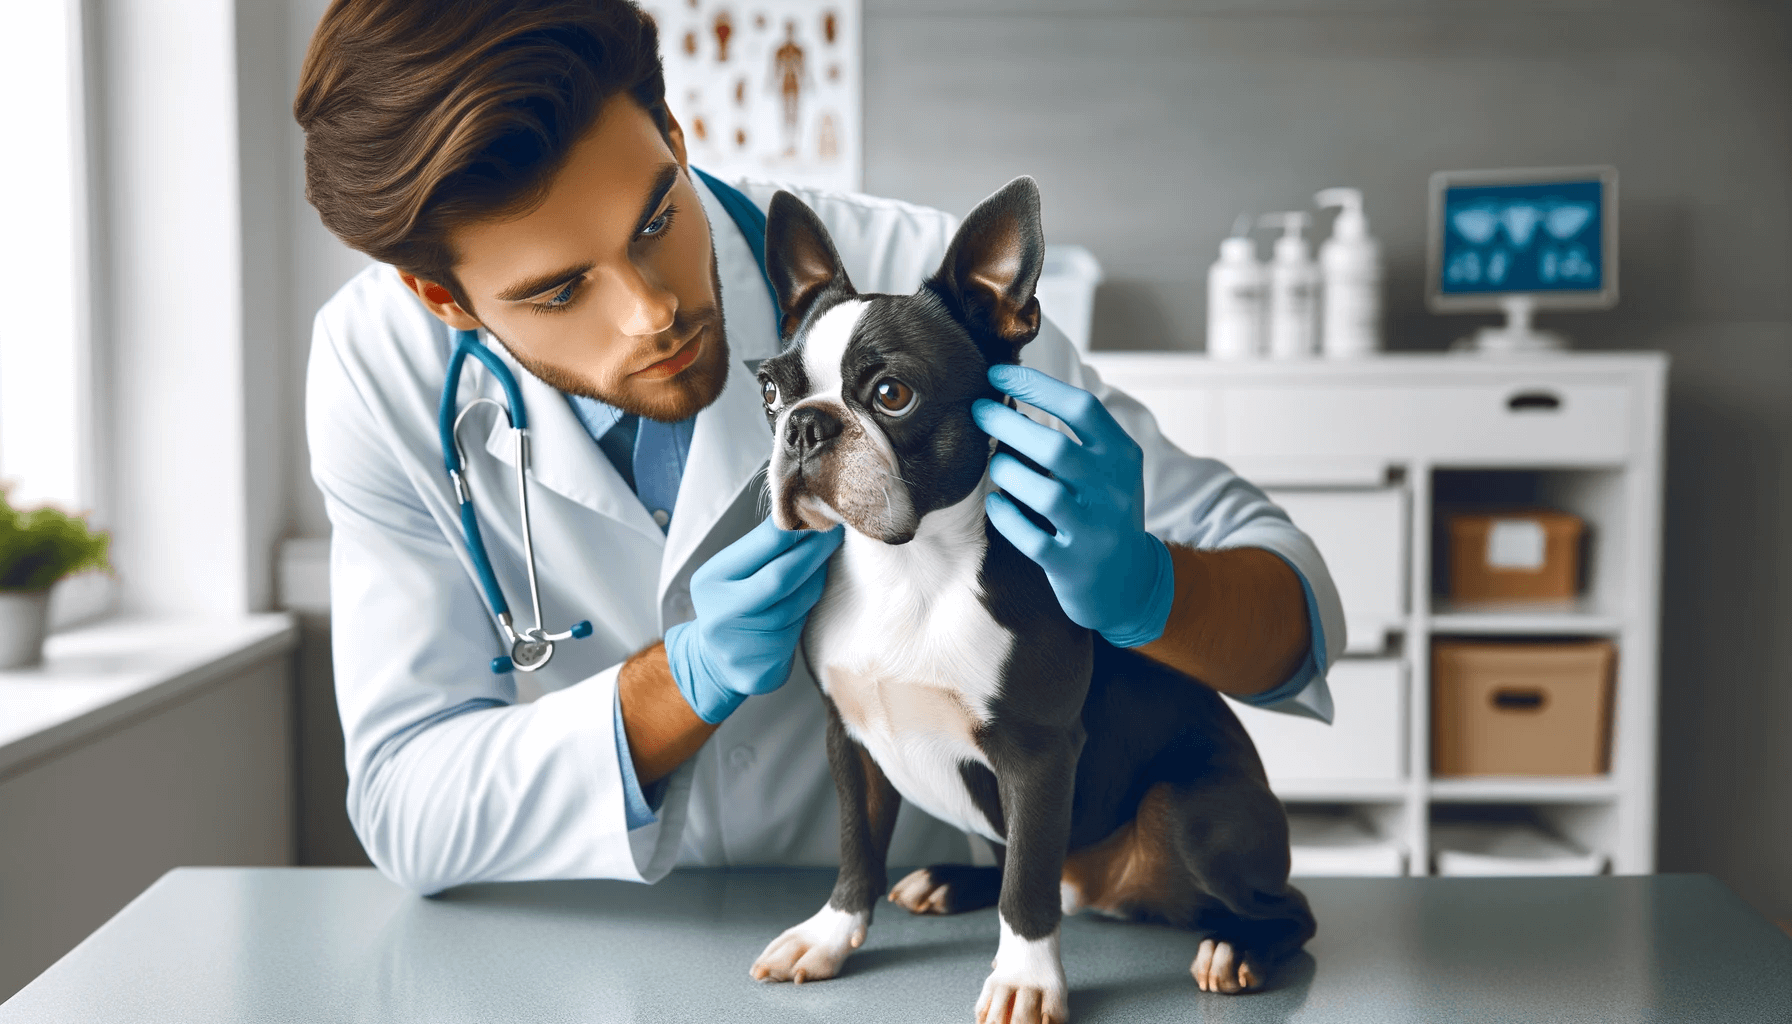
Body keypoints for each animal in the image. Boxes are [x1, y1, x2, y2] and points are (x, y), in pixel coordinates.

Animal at [741, 180, 1318, 1018]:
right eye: (770, 392)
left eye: (892, 394)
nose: (804, 425)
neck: (910, 569)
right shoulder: (848, 738)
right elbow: (857, 848)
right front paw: (828, 935)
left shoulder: (1039, 755)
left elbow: (1028, 884)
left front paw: (1024, 979)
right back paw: (951, 881)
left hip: (1190, 808)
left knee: (1285, 909)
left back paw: (1239, 948)